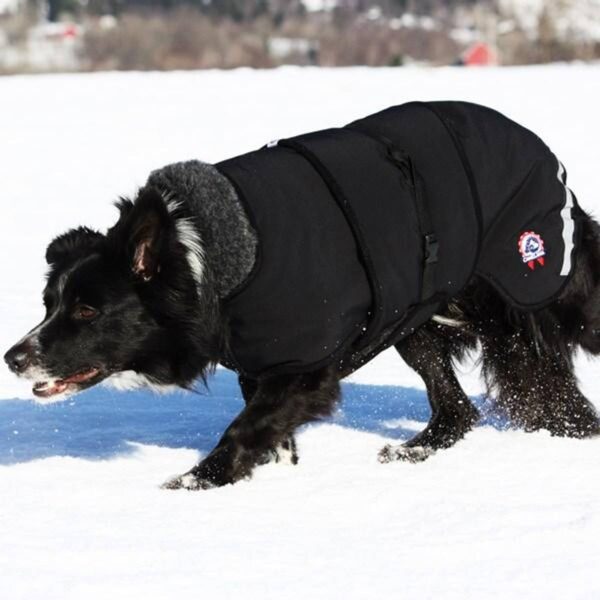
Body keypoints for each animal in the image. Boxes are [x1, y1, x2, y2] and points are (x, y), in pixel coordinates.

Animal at [4, 101, 600, 490]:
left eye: (87, 311)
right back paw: (412, 451)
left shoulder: (302, 364)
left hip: (526, 287)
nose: (13, 357)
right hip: (417, 318)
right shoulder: (263, 360)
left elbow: (242, 429)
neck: (205, 267)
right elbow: (264, 425)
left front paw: (193, 483)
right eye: (48, 305)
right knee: (460, 409)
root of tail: (546, 158)